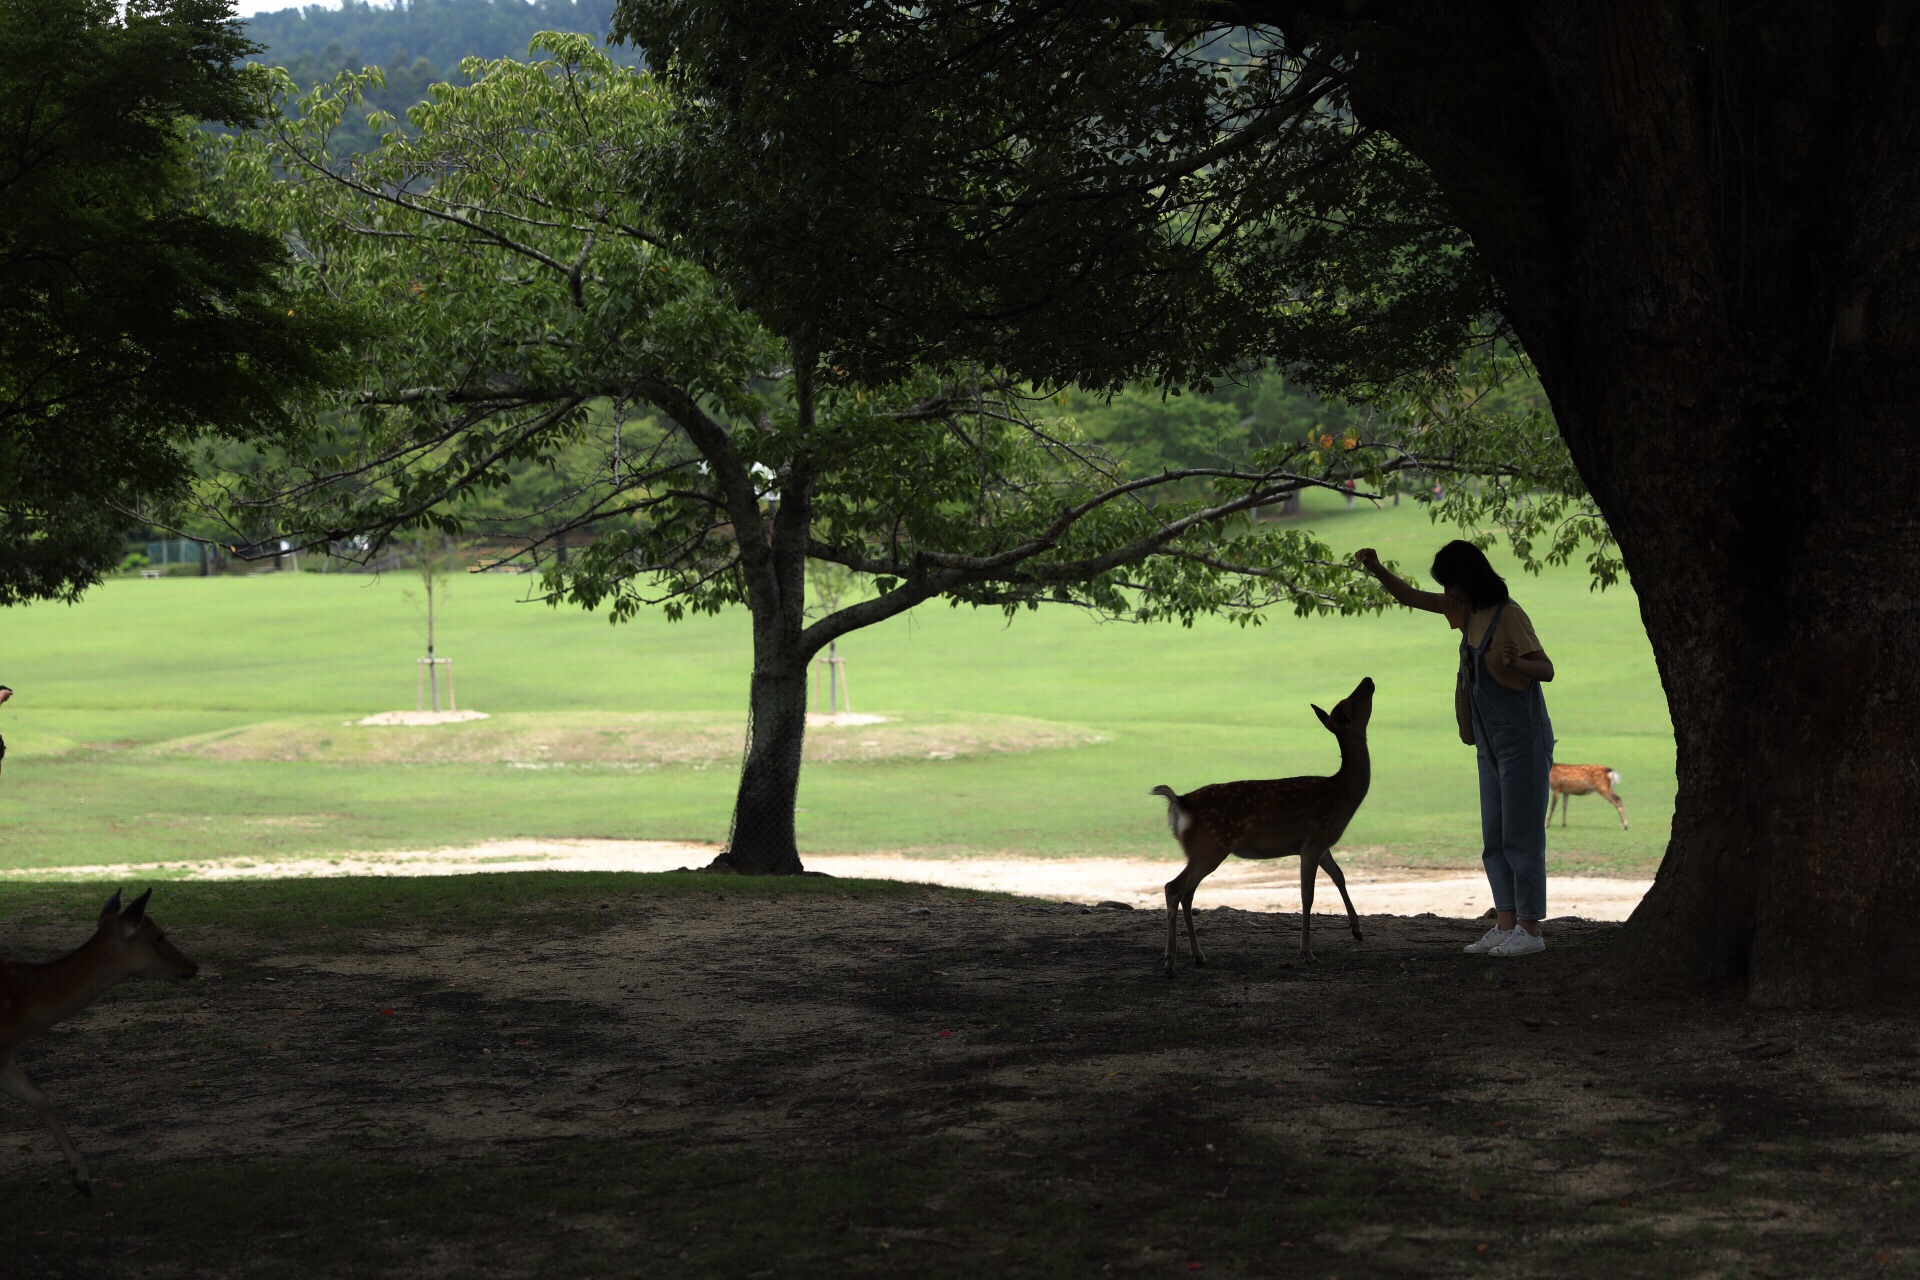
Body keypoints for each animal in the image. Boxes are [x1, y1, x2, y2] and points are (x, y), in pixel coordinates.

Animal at [0, 886, 197, 1197]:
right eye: (159, 935)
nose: (193, 966)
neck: (20, 1006)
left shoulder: (4, 1060)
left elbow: (40, 1096)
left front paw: (81, 1177)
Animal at [1144, 675, 1374, 974]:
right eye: (1351, 704)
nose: (1368, 679)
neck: (1343, 794)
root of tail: (1179, 802)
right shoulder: (1313, 841)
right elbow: (1307, 895)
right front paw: (1307, 953)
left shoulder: (1323, 844)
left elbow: (1340, 876)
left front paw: (1357, 930)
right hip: (1210, 846)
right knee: (1173, 887)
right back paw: (1170, 961)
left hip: (1198, 851)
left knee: (1187, 893)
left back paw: (1197, 955)